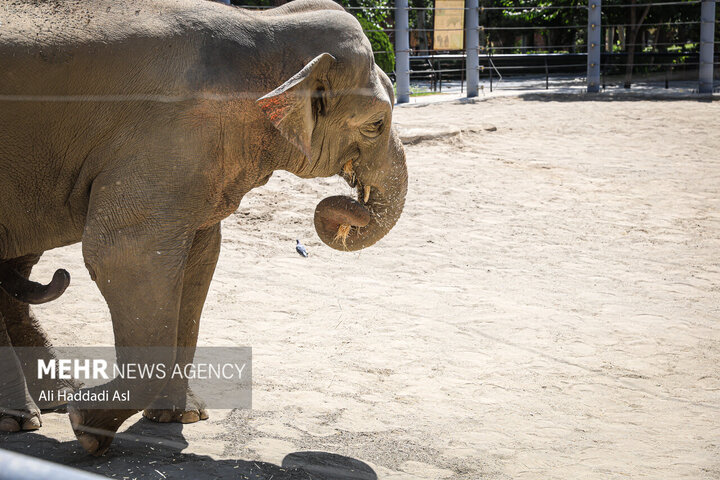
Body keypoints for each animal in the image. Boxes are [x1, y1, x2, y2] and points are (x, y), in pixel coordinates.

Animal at [0, 0, 404, 456]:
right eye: (375, 125)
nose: (351, 205)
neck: (266, 26)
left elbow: (198, 262)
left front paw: (179, 417)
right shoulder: (167, 137)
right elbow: (124, 255)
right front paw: (86, 427)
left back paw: (48, 403)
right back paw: (24, 418)